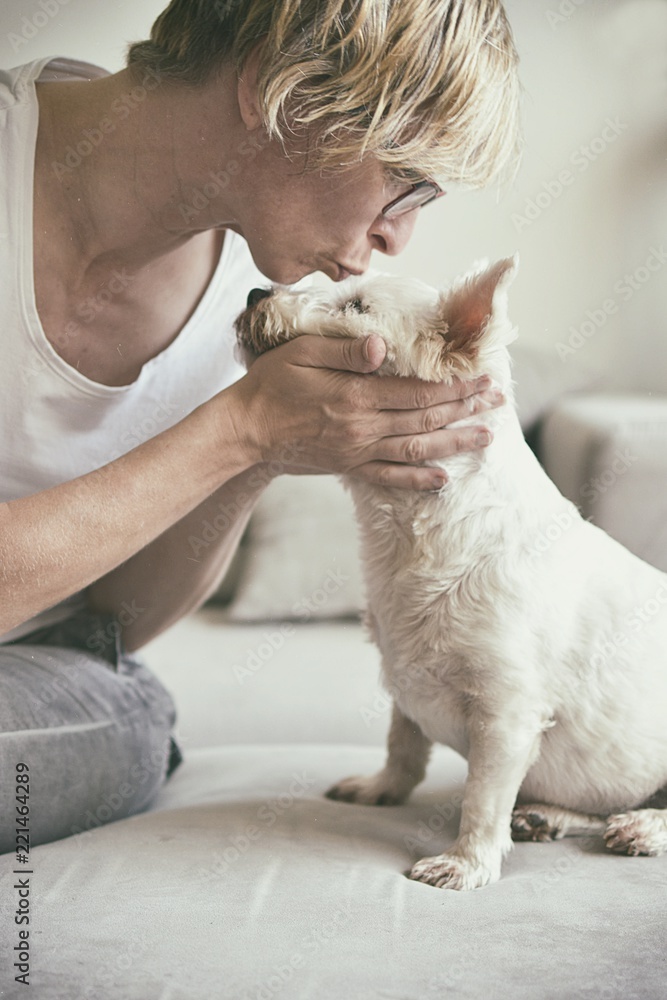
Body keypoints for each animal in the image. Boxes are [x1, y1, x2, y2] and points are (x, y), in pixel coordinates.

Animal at [237, 260, 667, 892]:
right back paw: (547, 816)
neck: (414, 536)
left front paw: (465, 864)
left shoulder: (506, 712)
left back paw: (641, 827)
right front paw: (380, 789)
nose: (252, 291)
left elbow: (482, 797)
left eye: (357, 307)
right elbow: (403, 745)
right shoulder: (405, 675)